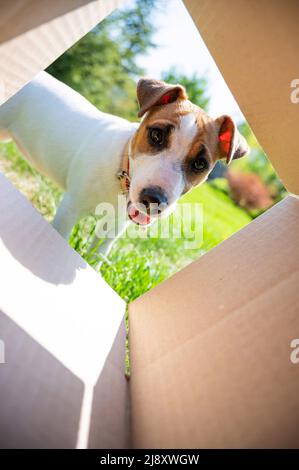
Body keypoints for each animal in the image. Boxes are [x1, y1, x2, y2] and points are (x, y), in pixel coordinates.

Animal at [0, 71, 250, 258]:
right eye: (156, 135)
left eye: (200, 163)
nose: (153, 200)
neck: (120, 173)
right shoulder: (70, 209)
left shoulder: (115, 225)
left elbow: (97, 255)